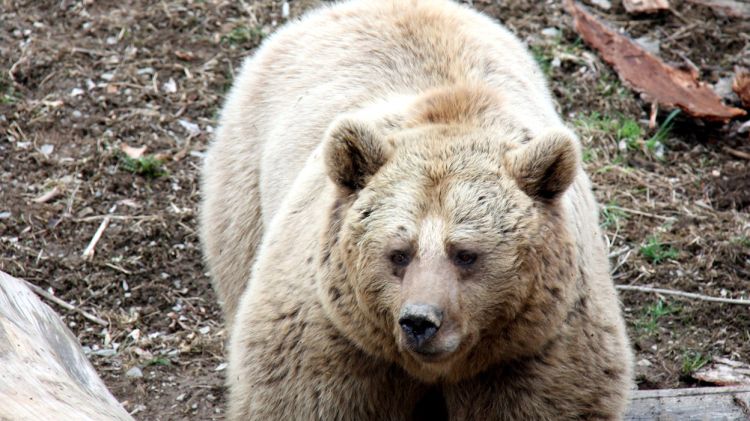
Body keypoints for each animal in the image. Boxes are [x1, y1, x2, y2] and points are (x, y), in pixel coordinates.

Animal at [200, 1, 636, 418]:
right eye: (399, 252)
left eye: (466, 254)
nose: (419, 322)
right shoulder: (333, 335)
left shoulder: (537, 348)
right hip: (245, 181)